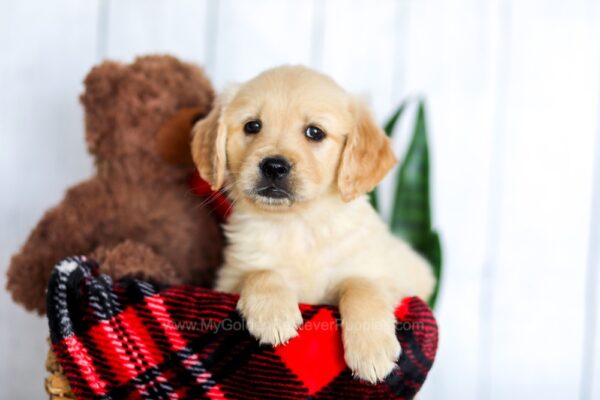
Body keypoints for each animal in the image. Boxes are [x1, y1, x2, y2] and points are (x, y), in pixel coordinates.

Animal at [192, 66, 436, 384]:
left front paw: (372, 351)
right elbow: (260, 271)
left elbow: (362, 285)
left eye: (314, 132)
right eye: (252, 126)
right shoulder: (227, 278)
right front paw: (273, 313)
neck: (297, 223)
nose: (274, 166)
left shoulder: (389, 276)